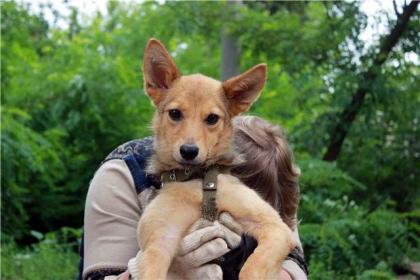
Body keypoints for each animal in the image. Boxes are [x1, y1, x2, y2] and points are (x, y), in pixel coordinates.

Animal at [138, 39, 296, 280]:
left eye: (212, 118)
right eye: (175, 113)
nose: (189, 151)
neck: (198, 180)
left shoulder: (276, 228)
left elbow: (252, 266)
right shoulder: (159, 241)